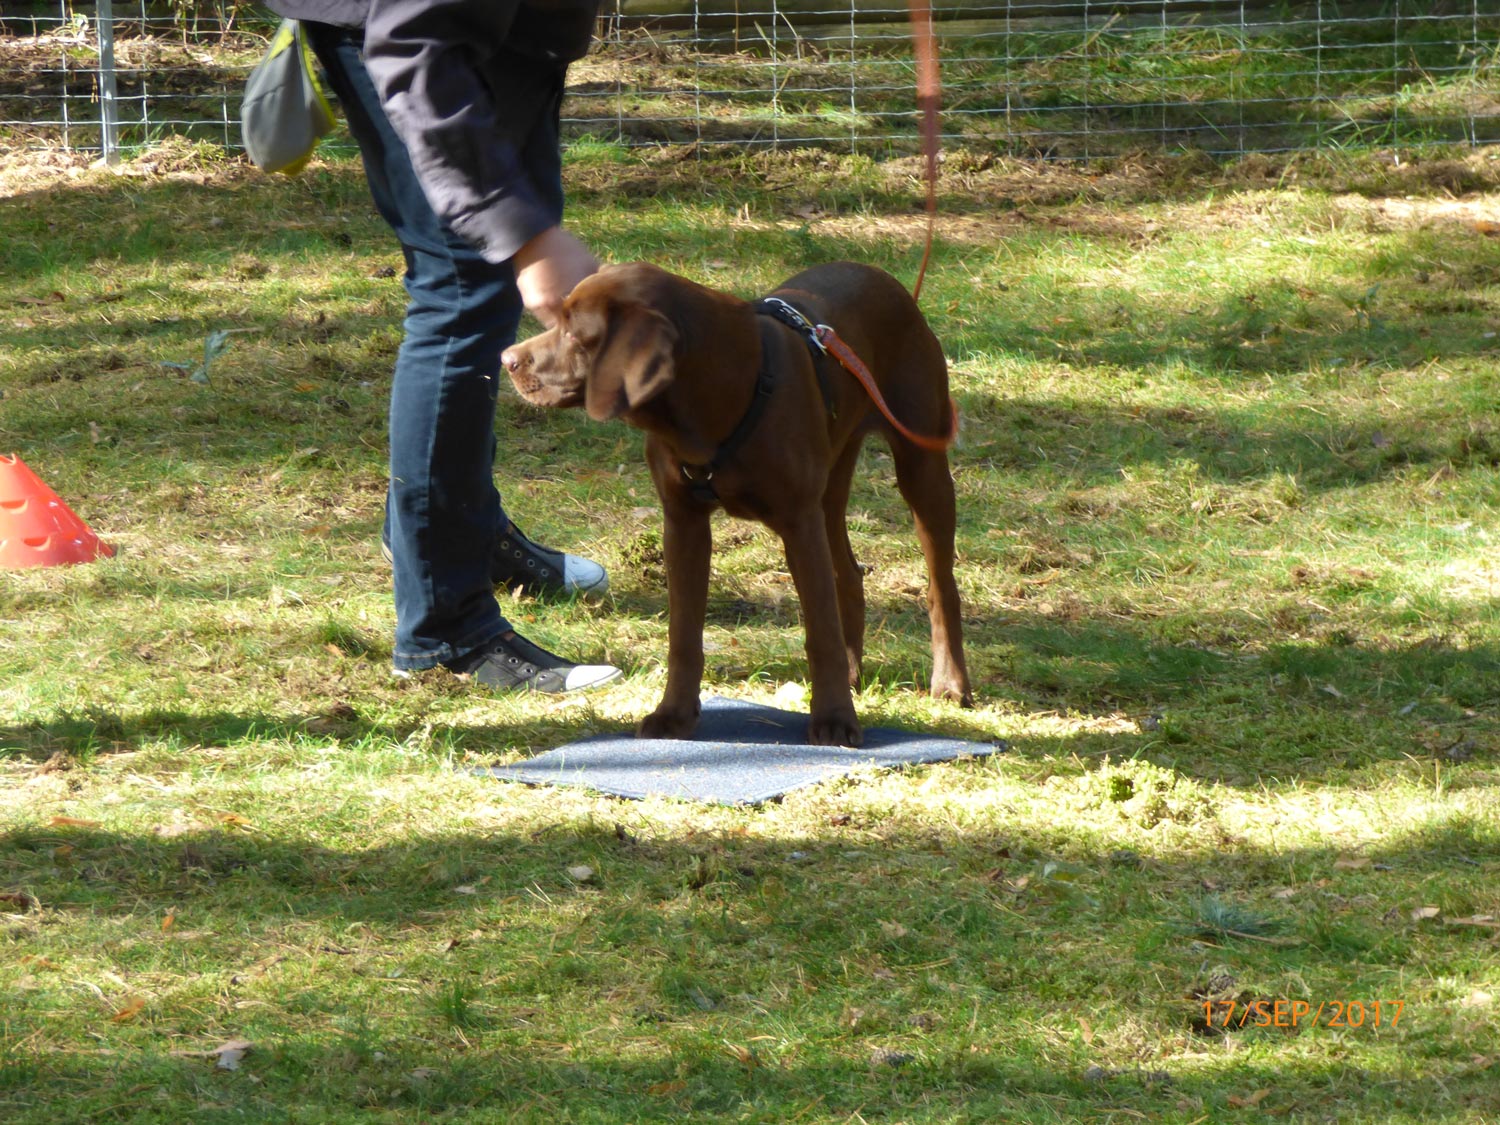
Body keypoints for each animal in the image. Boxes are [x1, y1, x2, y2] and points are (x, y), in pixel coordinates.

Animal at [504, 259, 972, 744]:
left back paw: (950, 682)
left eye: (574, 332)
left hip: (920, 461)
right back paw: (852, 671)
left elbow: (820, 632)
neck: (711, 397)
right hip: (831, 484)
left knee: (940, 587)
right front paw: (674, 714)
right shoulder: (684, 521)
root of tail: (882, 276)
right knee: (848, 574)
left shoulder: (798, 522)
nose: (507, 360)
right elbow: (683, 635)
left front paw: (835, 720)